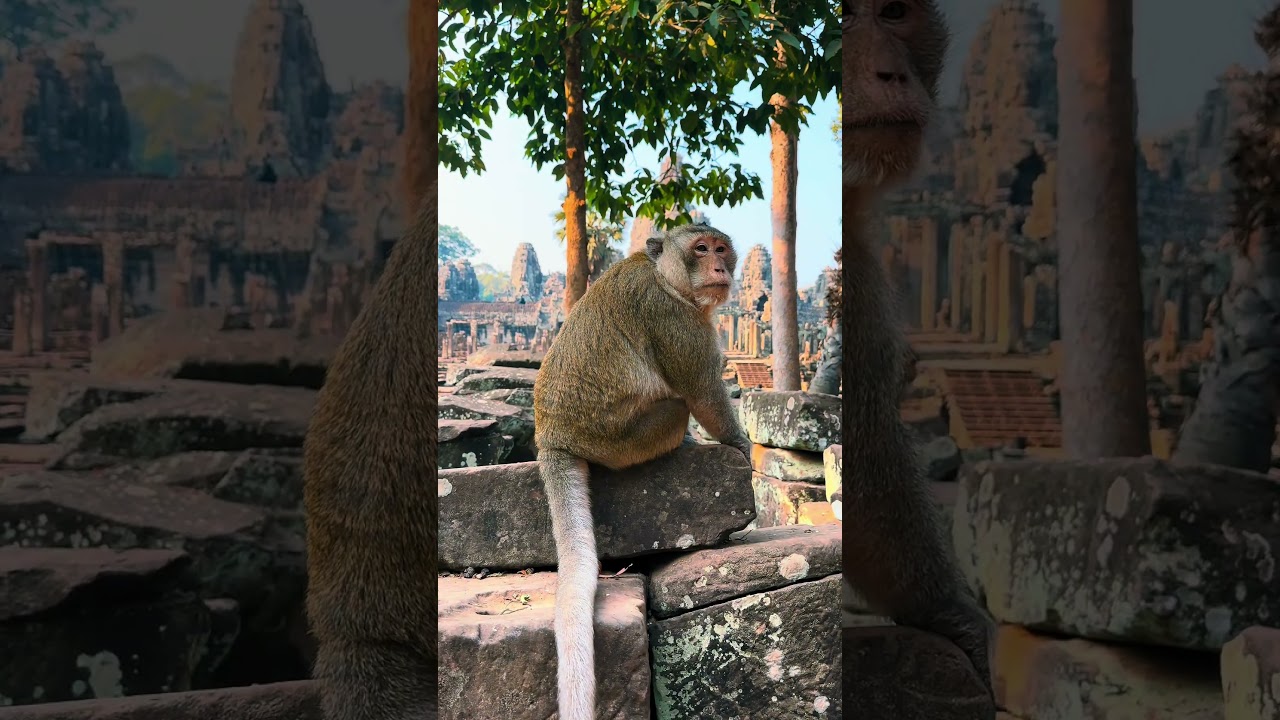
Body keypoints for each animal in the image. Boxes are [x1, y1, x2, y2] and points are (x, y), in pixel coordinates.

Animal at [533, 222, 753, 720]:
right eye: (701, 249)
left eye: (721, 249)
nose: (719, 267)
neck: (666, 277)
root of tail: (551, 432)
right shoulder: (674, 317)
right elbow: (703, 393)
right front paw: (739, 443)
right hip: (624, 440)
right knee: (678, 406)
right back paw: (685, 439)